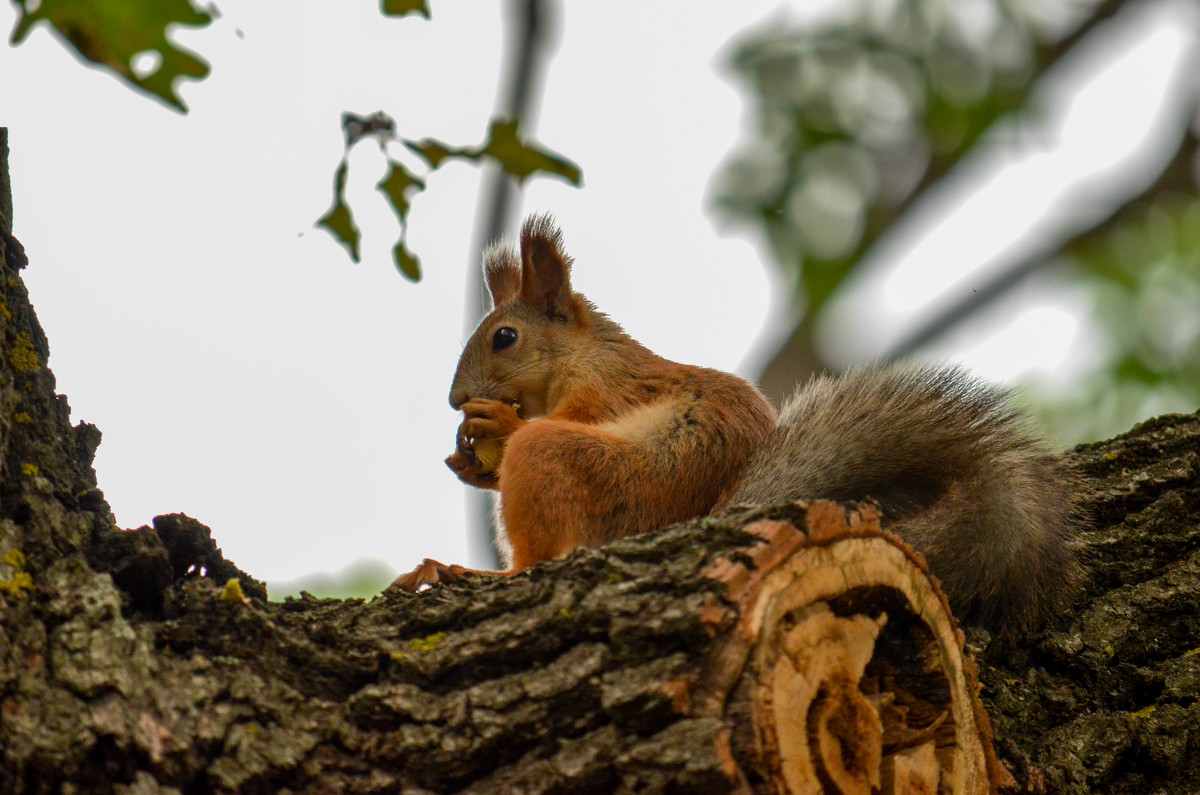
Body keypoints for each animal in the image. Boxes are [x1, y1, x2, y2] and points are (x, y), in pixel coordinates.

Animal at [396, 214, 1089, 634]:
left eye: (505, 337)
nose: (457, 399)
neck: (580, 354)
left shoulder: (608, 388)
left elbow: (572, 417)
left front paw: (493, 424)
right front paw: (465, 461)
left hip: (575, 468)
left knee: (542, 555)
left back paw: (474, 573)